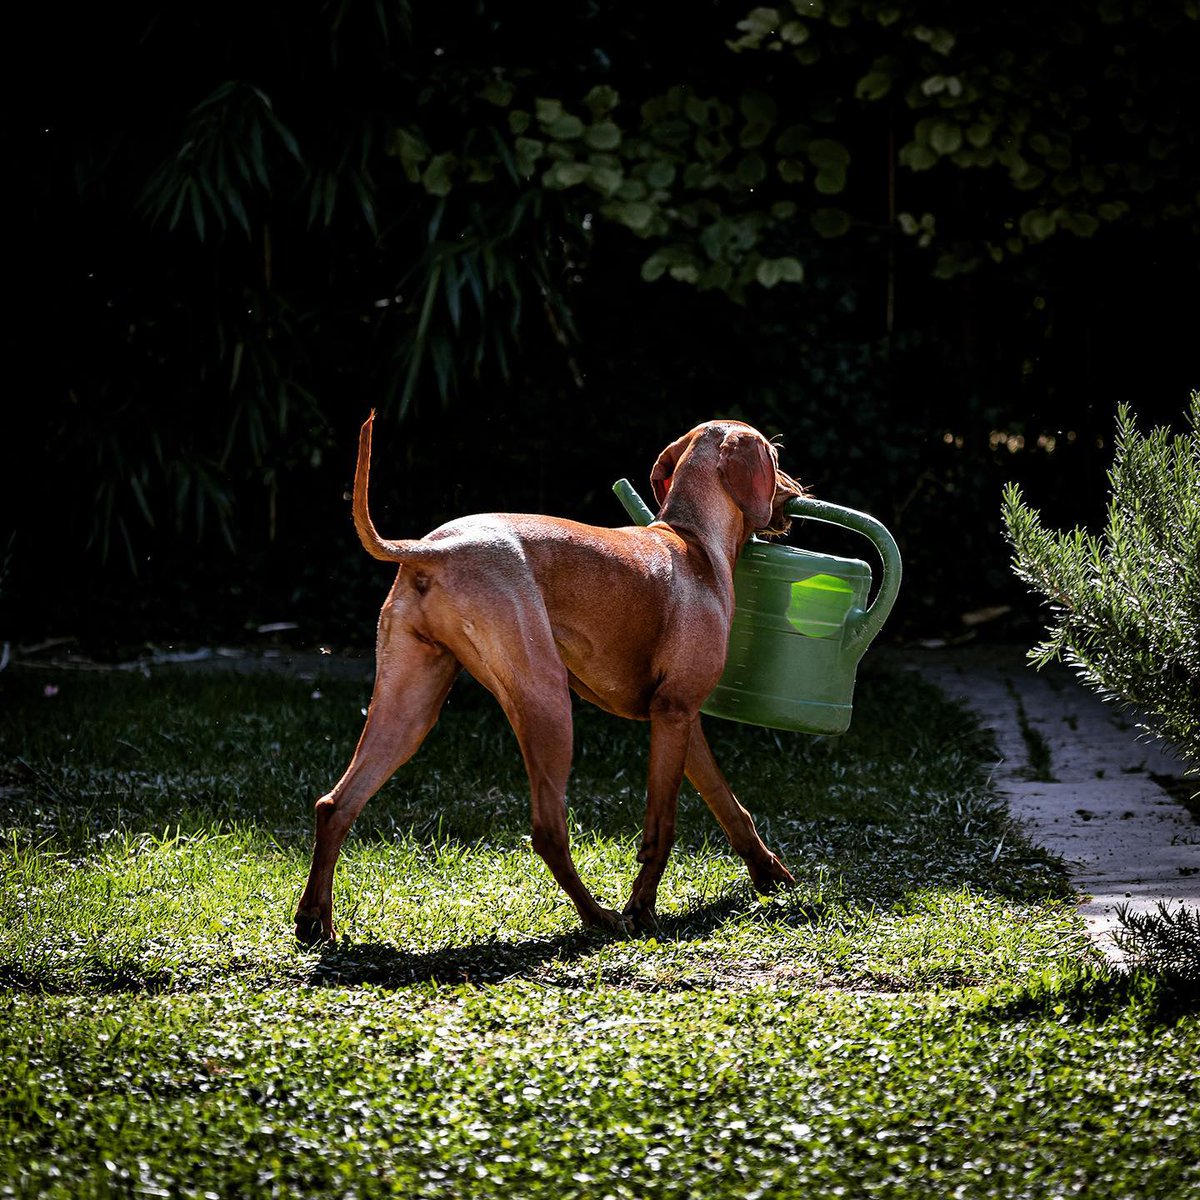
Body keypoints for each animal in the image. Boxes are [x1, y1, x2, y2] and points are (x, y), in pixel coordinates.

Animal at [297, 417, 806, 940]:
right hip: (547, 703)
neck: (693, 541)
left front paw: (771, 876)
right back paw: (599, 917)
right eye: (776, 458)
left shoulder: (682, 720)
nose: (799, 490)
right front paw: (642, 908)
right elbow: (661, 827)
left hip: (408, 710)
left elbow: (729, 806)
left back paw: (314, 919)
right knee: (547, 832)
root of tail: (435, 548)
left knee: (335, 804)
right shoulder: (673, 712)